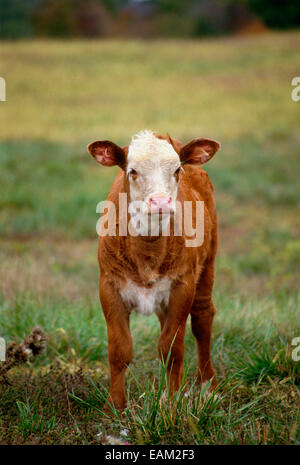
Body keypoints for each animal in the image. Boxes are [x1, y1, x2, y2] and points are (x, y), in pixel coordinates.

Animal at [86, 129, 220, 408]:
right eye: (132, 171)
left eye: (178, 170)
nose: (160, 202)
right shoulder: (109, 287)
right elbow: (120, 350)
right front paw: (115, 406)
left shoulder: (183, 286)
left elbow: (172, 348)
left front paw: (172, 406)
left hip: (208, 264)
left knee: (202, 319)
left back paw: (207, 386)